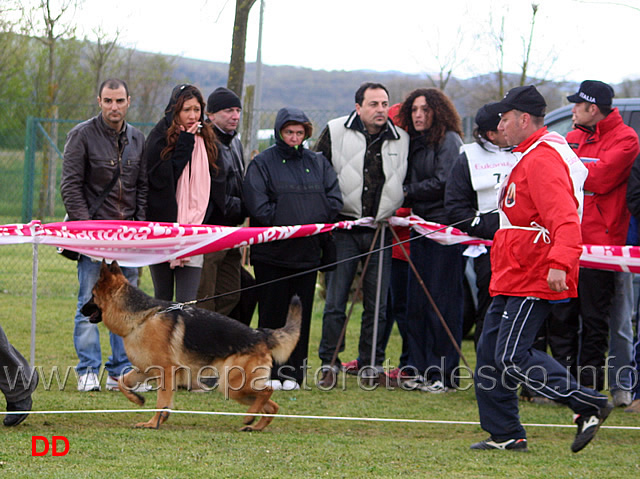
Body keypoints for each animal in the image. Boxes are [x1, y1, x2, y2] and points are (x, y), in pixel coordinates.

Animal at [81, 260, 302, 434]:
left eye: (92, 295)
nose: (81, 309)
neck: (142, 318)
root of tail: (261, 334)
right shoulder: (145, 369)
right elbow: (122, 382)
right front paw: (138, 400)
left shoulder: (166, 371)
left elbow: (161, 401)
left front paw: (153, 423)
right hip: (234, 388)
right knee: (272, 407)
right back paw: (254, 425)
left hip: (233, 384)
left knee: (267, 392)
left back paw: (249, 418)